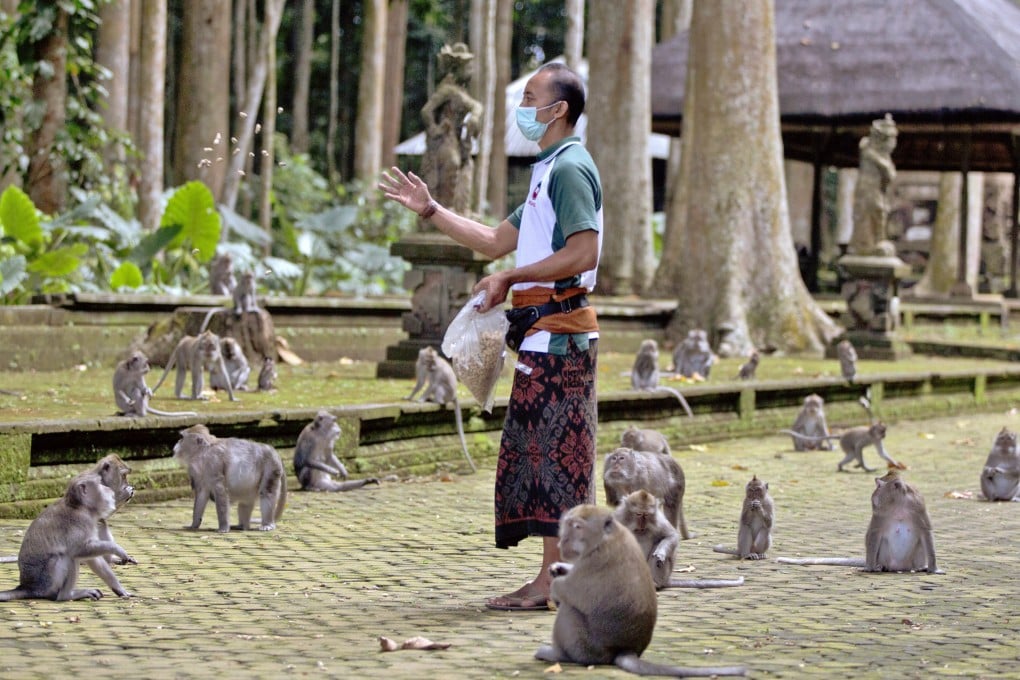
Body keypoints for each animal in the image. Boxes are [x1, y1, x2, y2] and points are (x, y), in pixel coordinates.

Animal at [0, 472, 136, 601]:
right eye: (100, 484)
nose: (108, 489)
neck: (81, 507)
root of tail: (27, 587)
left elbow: (92, 557)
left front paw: (119, 588)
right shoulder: (82, 521)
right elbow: (80, 550)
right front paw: (118, 550)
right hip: (47, 581)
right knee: (68, 555)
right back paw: (67, 595)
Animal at [534, 504, 747, 677]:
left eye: (577, 527)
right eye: (567, 524)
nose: (563, 541)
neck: (606, 537)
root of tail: (626, 650)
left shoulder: (594, 561)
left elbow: (567, 590)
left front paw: (555, 586)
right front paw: (559, 568)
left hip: (587, 647)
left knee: (570, 611)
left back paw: (559, 655)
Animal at [614, 490, 744, 590]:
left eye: (647, 515)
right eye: (638, 514)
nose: (642, 525)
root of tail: (667, 580)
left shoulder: (658, 520)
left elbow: (671, 536)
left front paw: (660, 553)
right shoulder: (618, 518)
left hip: (662, 574)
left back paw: (655, 584)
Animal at [778, 470, 942, 574]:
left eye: (879, 486)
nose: (874, 493)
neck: (899, 506)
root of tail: (900, 568)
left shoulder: (918, 507)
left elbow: (926, 532)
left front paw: (933, 569)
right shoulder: (879, 514)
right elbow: (873, 534)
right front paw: (869, 568)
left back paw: (920, 568)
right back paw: (881, 567)